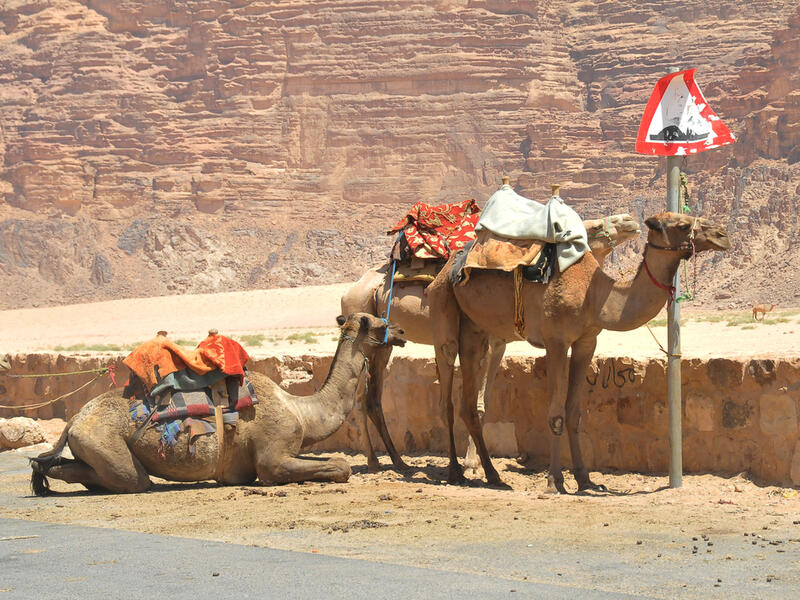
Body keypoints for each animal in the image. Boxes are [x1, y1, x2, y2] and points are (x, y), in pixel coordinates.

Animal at [29, 313, 405, 494]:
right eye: (381, 323)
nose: (401, 331)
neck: (302, 411)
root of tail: (73, 420)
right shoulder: (272, 458)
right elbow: (340, 466)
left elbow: (335, 461)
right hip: (107, 445)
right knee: (131, 480)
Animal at [341, 213, 641, 472]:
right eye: (592, 227)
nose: (630, 221)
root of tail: (353, 289)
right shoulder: (487, 338)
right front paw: (472, 464)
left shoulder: (499, 343)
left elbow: (483, 403)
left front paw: (473, 463)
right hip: (362, 322)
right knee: (359, 398)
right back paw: (373, 461)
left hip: (385, 343)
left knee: (373, 398)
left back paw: (398, 461)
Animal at [427, 212, 730, 492]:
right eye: (683, 224)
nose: (723, 234)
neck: (593, 295)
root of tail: (451, 263)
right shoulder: (556, 341)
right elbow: (555, 413)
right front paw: (554, 480)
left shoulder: (587, 341)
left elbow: (574, 412)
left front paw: (585, 479)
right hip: (444, 312)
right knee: (448, 395)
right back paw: (459, 472)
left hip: (478, 329)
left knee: (468, 404)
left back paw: (490, 475)